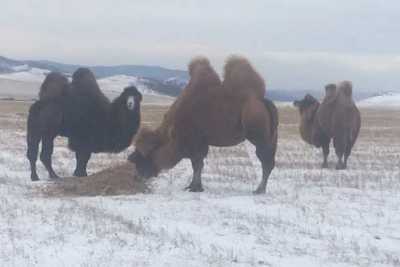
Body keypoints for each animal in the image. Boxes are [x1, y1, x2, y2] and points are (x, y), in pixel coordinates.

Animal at [128, 56, 278, 195]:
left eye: (145, 154)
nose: (137, 176)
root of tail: (263, 102)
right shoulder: (199, 144)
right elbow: (198, 165)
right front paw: (193, 186)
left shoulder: (195, 143)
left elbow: (197, 165)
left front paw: (194, 188)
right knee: (268, 162)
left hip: (260, 139)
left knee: (266, 162)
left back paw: (259, 190)